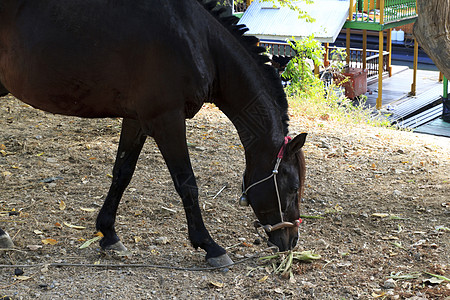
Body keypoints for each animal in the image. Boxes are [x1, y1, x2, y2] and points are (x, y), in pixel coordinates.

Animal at [0, 0, 306, 268]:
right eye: (292, 188)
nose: (291, 240)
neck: (199, 41)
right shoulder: (167, 120)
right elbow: (187, 183)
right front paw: (210, 246)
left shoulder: (137, 119)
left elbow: (122, 173)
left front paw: (109, 234)